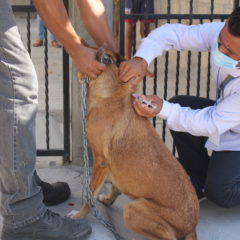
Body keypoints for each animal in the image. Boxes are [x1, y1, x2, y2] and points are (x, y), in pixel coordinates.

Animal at [72, 49, 199, 240]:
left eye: (107, 59)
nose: (98, 48)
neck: (111, 96)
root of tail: (192, 226)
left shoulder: (100, 162)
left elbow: (89, 196)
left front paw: (79, 216)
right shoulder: (112, 166)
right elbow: (115, 186)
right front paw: (108, 200)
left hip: (132, 211)